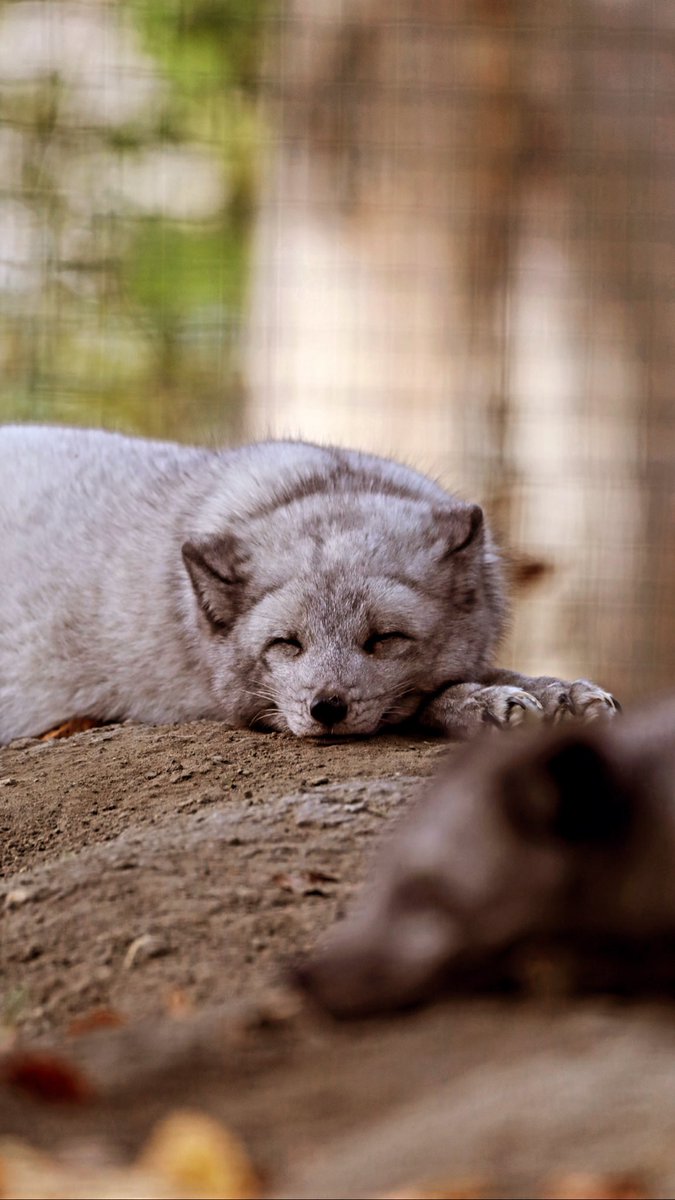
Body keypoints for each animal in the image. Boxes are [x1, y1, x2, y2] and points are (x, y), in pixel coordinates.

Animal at [0, 422, 614, 739]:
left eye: (385, 639)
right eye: (286, 643)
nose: (327, 709)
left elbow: (486, 671)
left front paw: (558, 690)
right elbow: (425, 702)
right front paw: (484, 703)